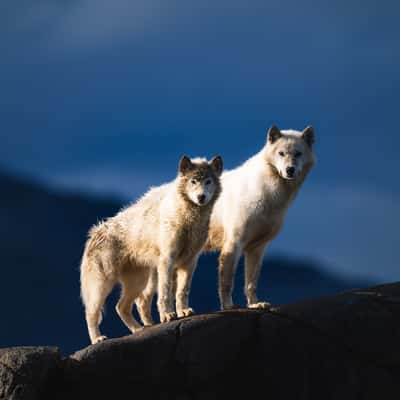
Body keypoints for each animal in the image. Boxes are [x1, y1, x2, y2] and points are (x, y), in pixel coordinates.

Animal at [79, 155, 223, 342]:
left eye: (208, 181)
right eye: (193, 181)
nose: (201, 197)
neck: (189, 218)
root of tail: (94, 234)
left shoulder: (189, 262)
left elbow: (182, 291)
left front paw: (183, 311)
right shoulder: (167, 261)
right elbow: (165, 293)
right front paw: (167, 315)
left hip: (138, 282)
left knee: (122, 307)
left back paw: (140, 329)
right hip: (102, 286)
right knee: (91, 314)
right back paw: (98, 339)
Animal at [205, 125, 318, 310]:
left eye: (298, 153)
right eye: (281, 153)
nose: (290, 170)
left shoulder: (257, 248)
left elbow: (251, 282)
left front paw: (255, 304)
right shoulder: (234, 243)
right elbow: (227, 281)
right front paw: (228, 306)